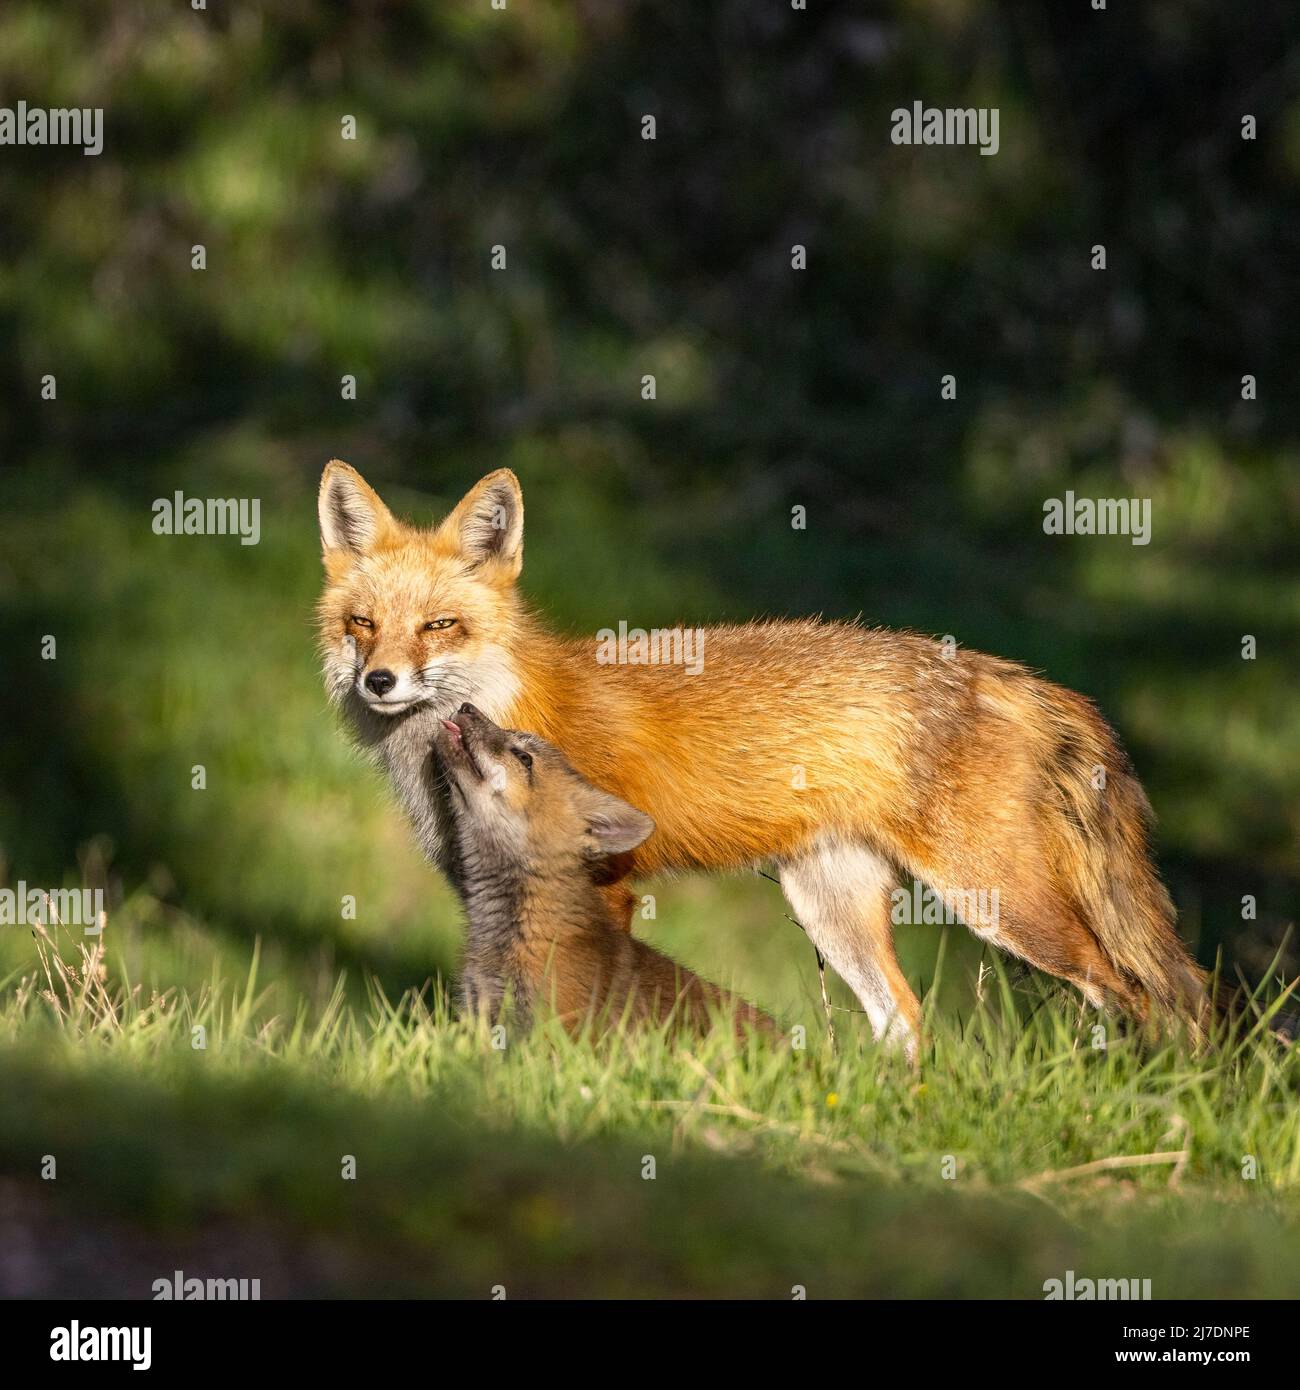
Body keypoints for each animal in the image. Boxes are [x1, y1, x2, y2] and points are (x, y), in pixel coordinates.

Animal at [318, 461, 1212, 1056]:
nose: (379, 680)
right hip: (831, 906)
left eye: (440, 626)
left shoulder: (603, 886)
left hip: (1004, 903)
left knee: (1147, 995)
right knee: (906, 1020)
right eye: (363, 623)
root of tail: (1012, 675)